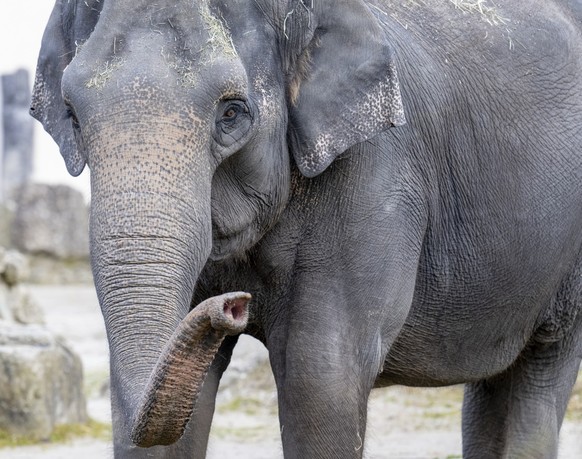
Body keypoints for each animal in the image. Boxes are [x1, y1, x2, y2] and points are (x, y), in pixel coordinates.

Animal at [30, 0, 582, 458]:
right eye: (72, 115)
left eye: (232, 112)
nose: (233, 305)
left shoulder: (375, 179)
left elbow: (320, 380)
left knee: (543, 368)